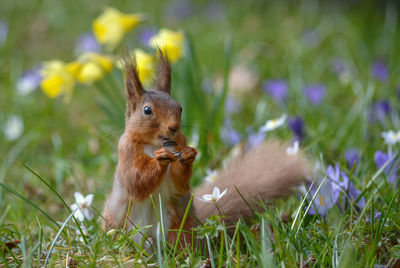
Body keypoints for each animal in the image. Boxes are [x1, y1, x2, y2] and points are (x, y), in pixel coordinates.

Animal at [101, 51, 310, 245]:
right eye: (147, 110)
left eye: (179, 107)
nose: (174, 127)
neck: (154, 144)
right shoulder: (126, 151)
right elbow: (135, 180)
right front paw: (160, 160)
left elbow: (180, 183)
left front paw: (189, 155)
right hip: (121, 228)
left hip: (181, 228)